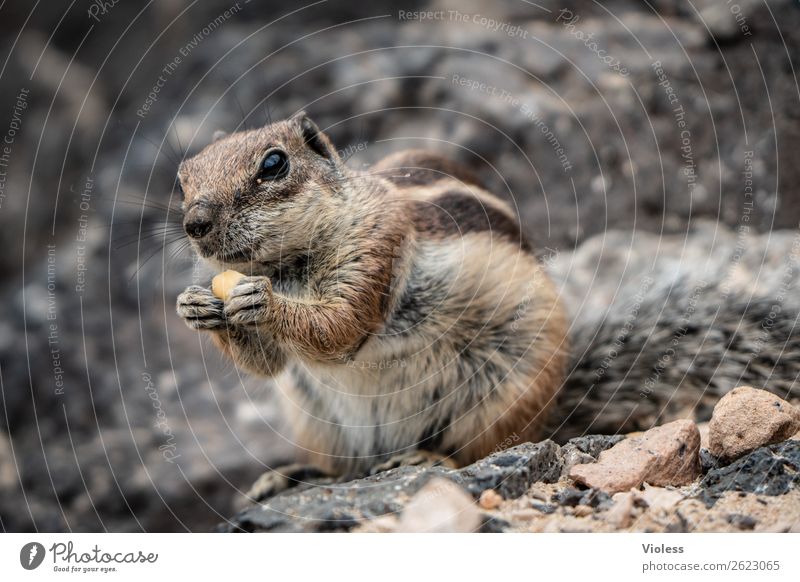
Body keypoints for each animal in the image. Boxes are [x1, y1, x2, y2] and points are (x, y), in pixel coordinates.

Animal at [177, 114, 568, 502]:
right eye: (183, 180)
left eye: (274, 164)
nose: (195, 224)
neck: (286, 269)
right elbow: (268, 363)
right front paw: (194, 305)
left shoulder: (378, 244)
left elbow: (339, 326)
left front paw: (266, 303)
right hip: (315, 420)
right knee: (341, 466)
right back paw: (290, 475)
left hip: (509, 388)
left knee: (475, 448)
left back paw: (426, 456)